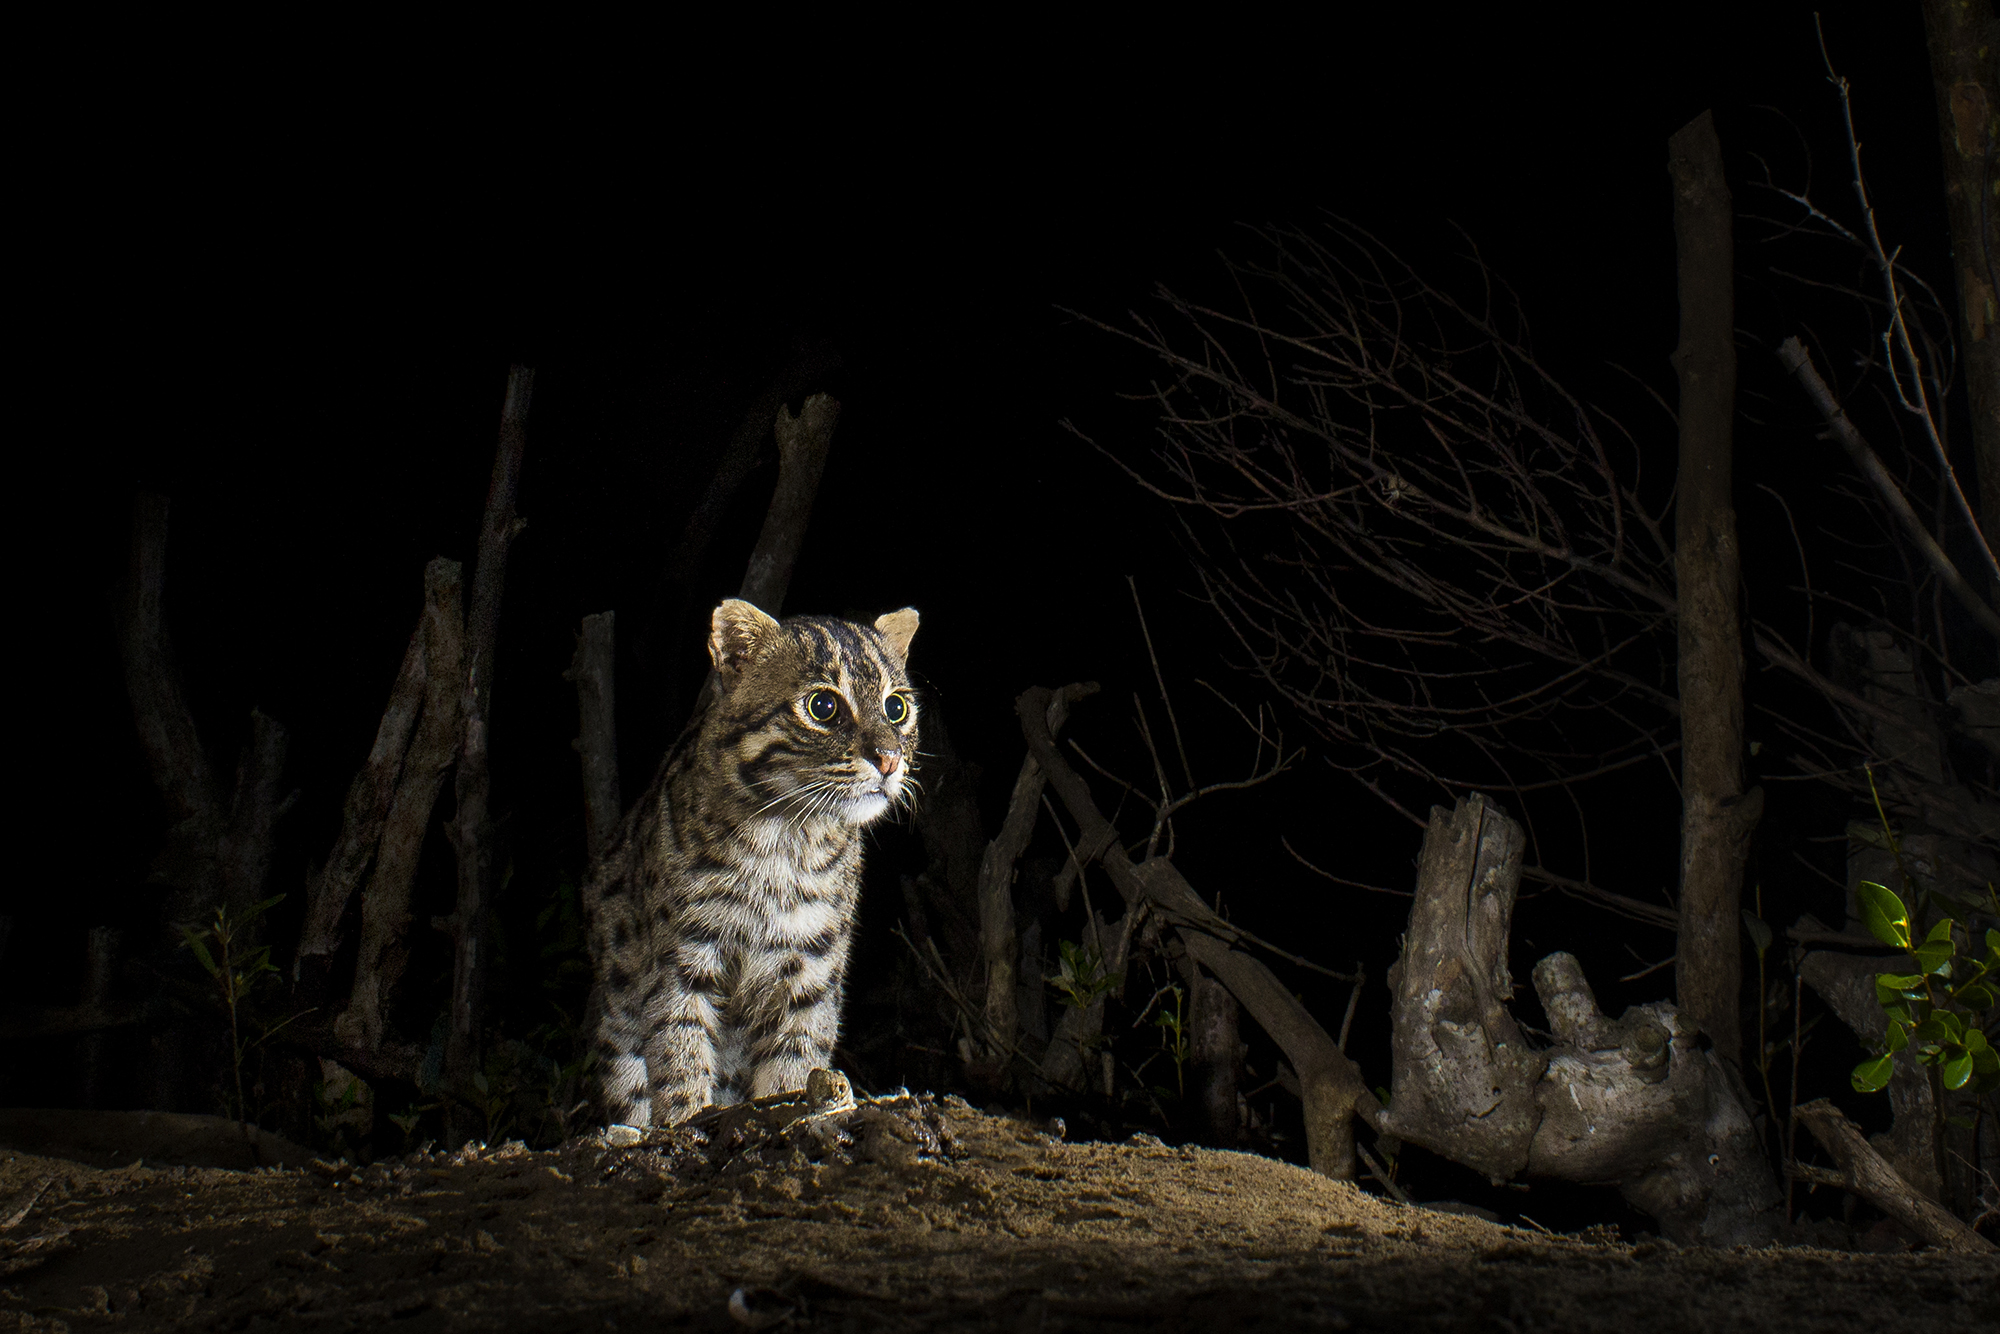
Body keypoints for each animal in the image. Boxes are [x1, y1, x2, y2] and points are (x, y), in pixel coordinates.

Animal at [584, 600, 916, 1136]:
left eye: (897, 708)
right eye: (823, 707)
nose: (889, 760)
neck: (787, 835)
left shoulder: (812, 967)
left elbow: (795, 1060)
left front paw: (791, 1109)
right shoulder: (681, 959)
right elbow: (679, 1050)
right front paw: (686, 1121)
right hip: (618, 1017)